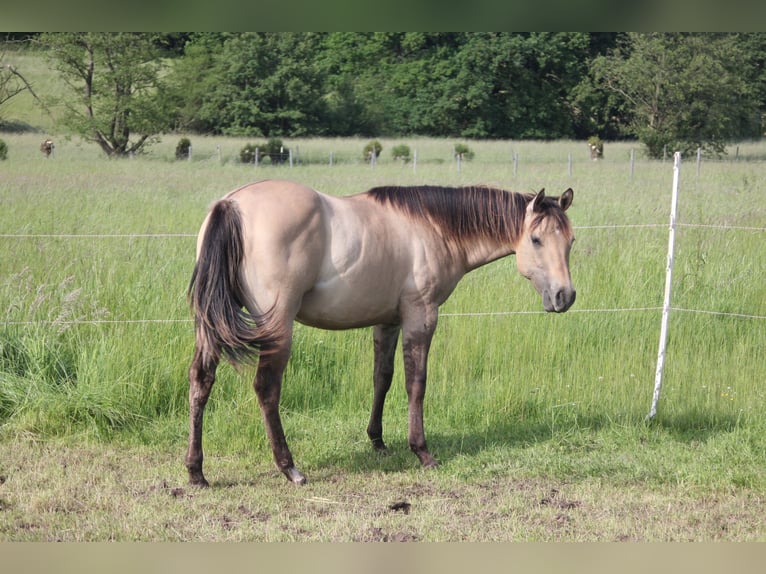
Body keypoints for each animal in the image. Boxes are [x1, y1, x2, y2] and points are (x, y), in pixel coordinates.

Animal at [186, 179, 575, 487]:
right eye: (536, 240)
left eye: (570, 241)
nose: (565, 296)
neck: (432, 227)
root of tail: (231, 205)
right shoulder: (421, 316)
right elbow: (415, 383)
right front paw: (422, 451)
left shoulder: (387, 322)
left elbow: (382, 378)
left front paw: (377, 441)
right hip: (277, 326)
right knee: (266, 389)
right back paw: (289, 467)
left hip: (210, 326)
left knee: (201, 381)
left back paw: (196, 471)